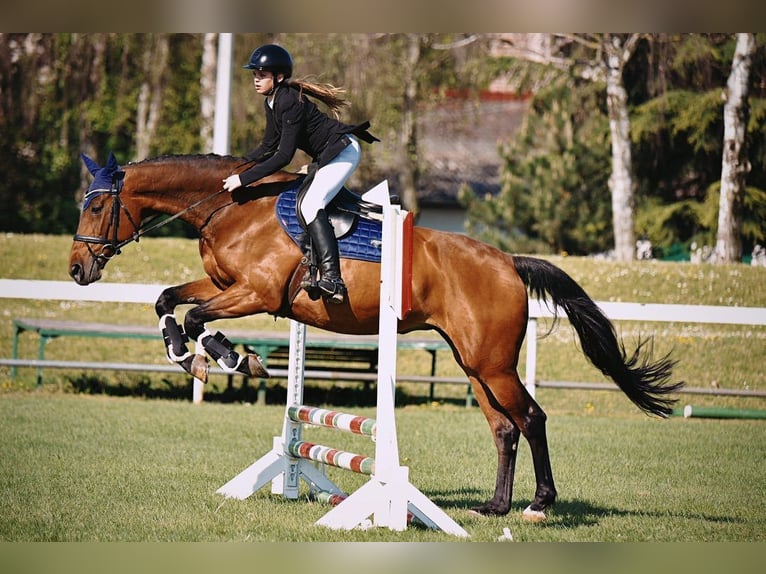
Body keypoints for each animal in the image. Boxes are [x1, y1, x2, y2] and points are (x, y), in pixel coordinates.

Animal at [70, 152, 684, 520]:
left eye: (97, 205)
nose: (77, 269)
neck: (230, 206)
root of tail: (507, 260)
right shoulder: (225, 285)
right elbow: (168, 300)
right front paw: (186, 354)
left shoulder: (255, 293)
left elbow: (198, 318)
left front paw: (229, 360)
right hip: (473, 363)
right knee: (503, 428)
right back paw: (493, 507)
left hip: (492, 364)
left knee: (531, 418)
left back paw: (537, 504)